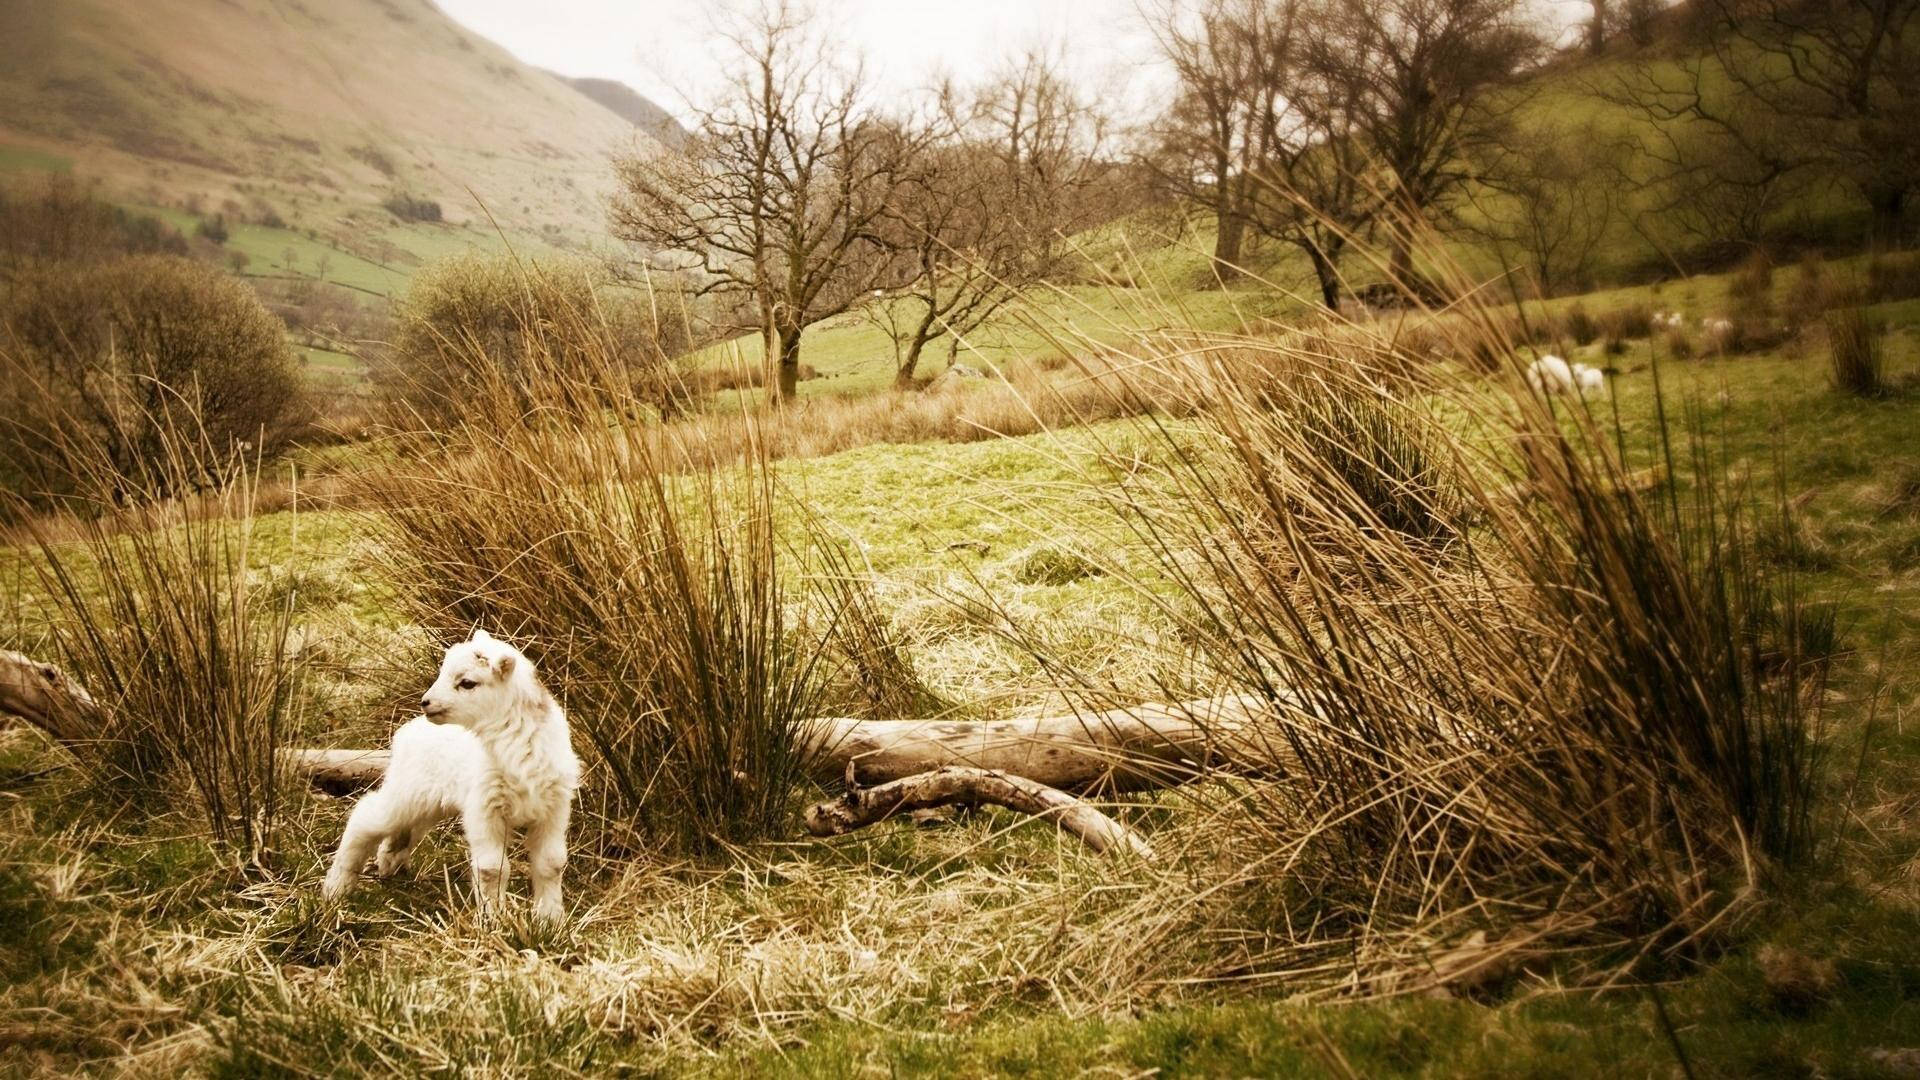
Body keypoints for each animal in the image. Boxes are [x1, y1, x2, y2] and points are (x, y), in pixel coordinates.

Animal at [322, 626, 579, 922]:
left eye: (467, 683)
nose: (426, 702)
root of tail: (409, 729)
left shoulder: (554, 808)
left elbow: (552, 864)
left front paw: (551, 919)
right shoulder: (483, 808)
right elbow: (492, 869)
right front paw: (493, 920)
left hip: (429, 803)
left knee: (402, 831)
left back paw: (389, 865)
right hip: (407, 791)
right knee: (364, 817)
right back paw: (335, 889)